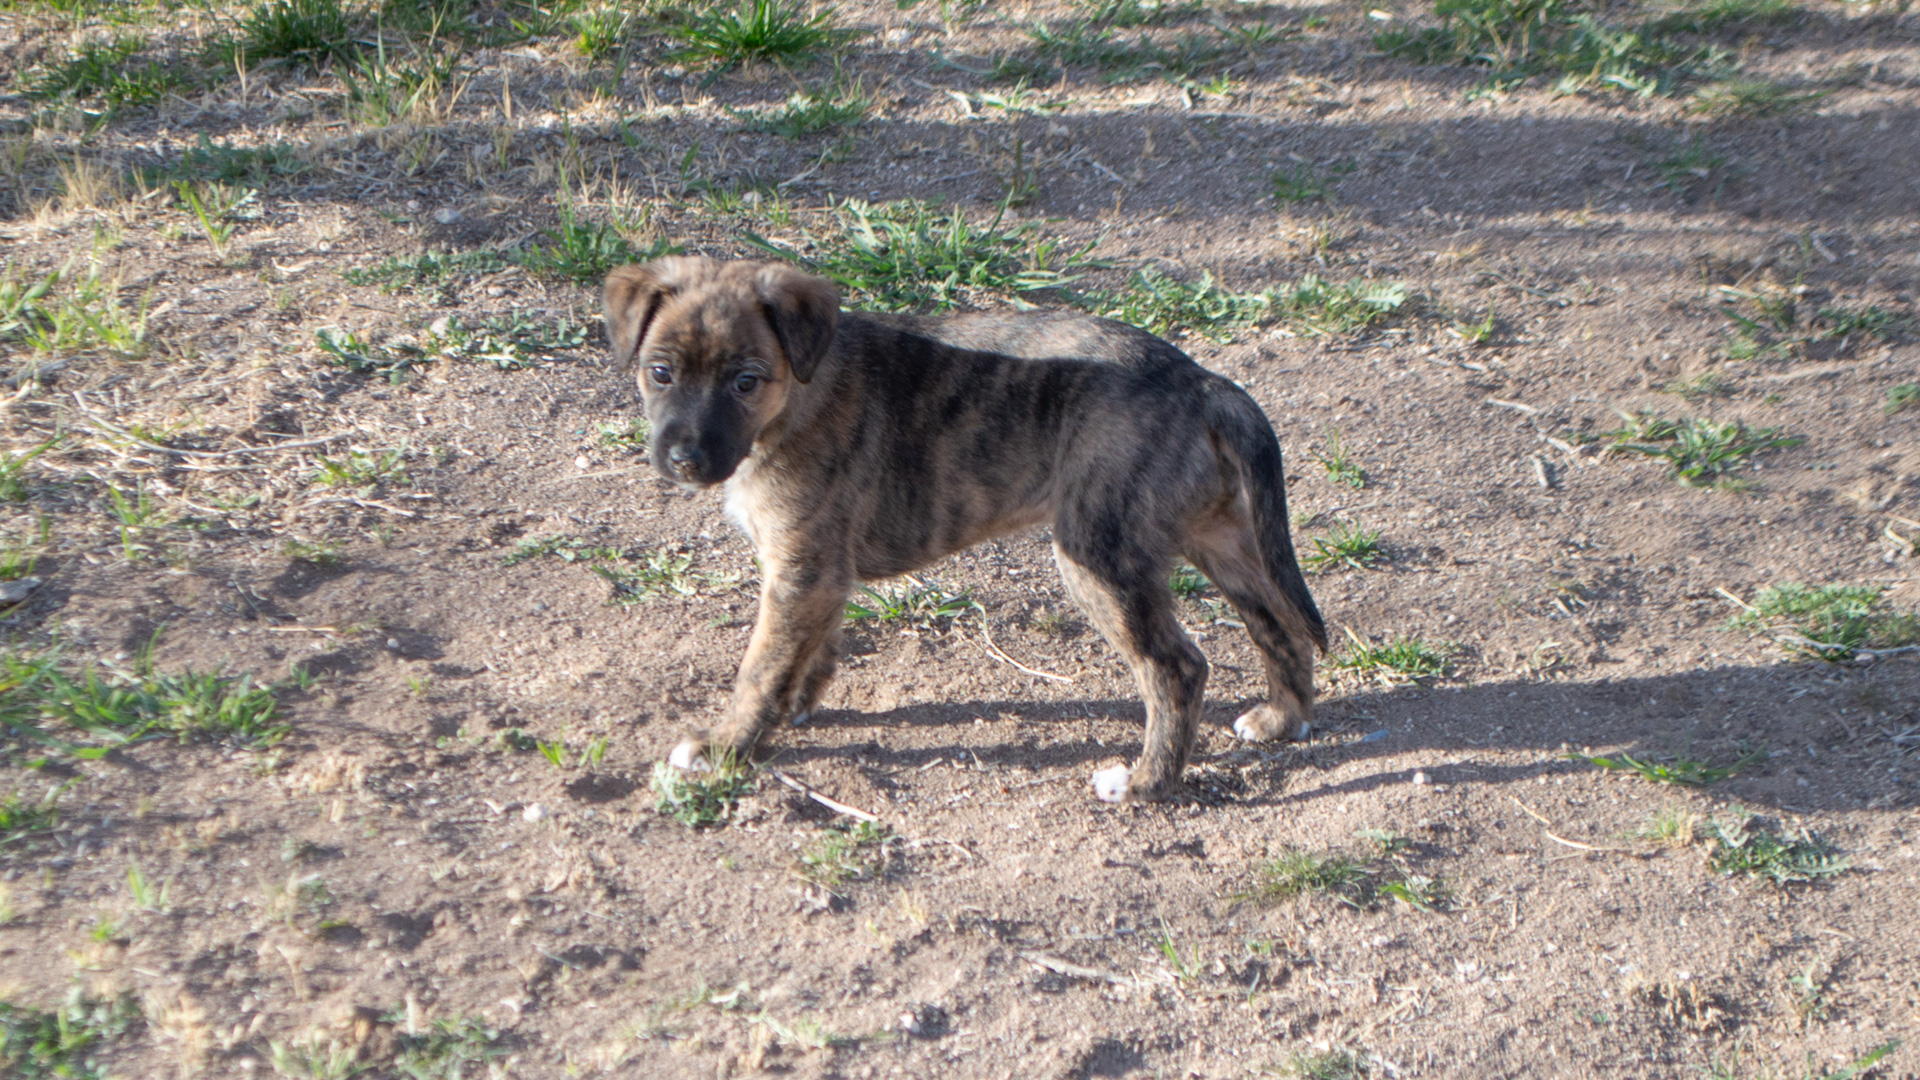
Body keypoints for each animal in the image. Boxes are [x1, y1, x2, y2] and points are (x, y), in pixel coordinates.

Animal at [603, 256, 1327, 802]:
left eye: (746, 382)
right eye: (660, 373)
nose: (685, 461)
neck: (797, 396)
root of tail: (1200, 382)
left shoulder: (801, 570)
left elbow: (760, 667)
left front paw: (728, 745)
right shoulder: (818, 572)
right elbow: (806, 652)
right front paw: (794, 708)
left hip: (1100, 555)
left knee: (1177, 668)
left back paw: (1146, 783)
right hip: (1217, 535)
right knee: (1279, 622)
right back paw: (1281, 718)